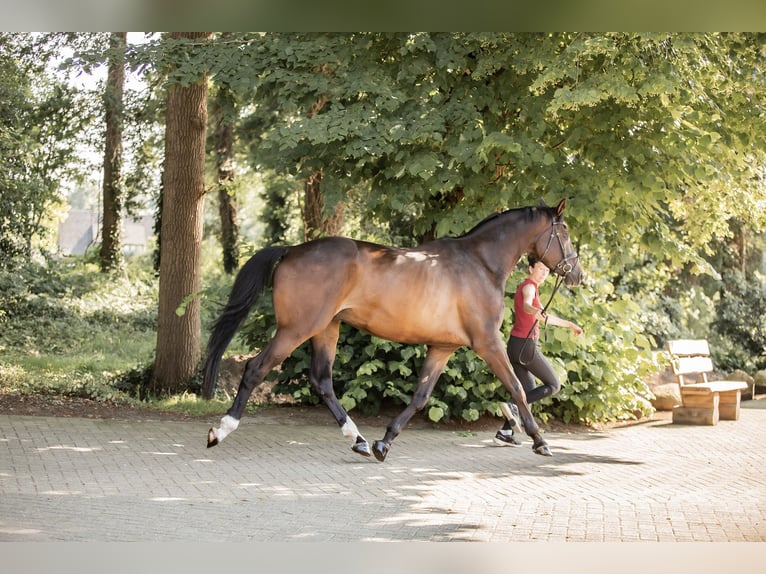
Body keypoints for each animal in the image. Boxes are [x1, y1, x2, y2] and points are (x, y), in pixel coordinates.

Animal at [201, 200, 584, 462]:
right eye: (564, 231)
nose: (577, 274)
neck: (480, 264)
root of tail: (292, 250)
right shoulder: (488, 343)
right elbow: (517, 388)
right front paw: (540, 441)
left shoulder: (442, 348)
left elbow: (420, 397)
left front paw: (384, 442)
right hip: (296, 329)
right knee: (256, 368)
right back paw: (220, 430)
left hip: (327, 329)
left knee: (322, 381)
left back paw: (359, 440)